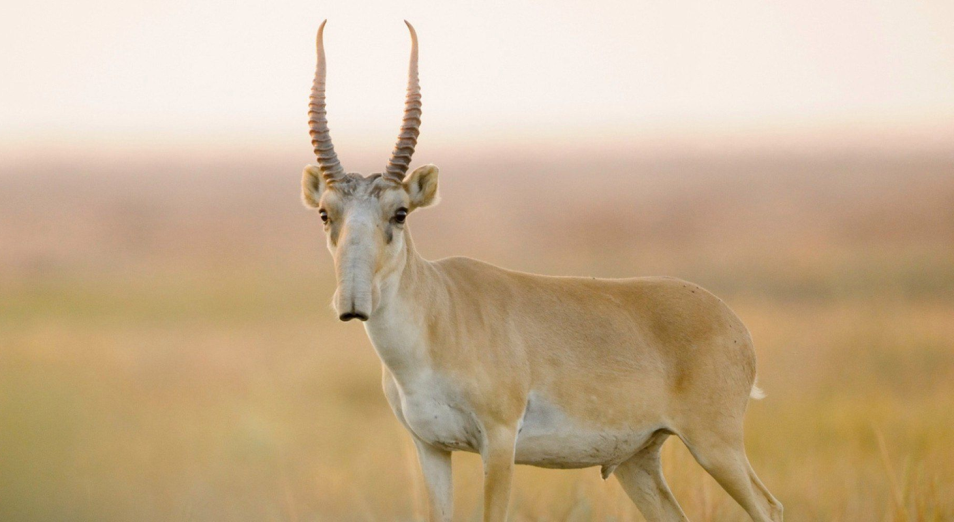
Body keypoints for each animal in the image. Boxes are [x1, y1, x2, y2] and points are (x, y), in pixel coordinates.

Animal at [300, 21, 780, 520]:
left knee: (770, 507)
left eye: (400, 213)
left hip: (715, 445)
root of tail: (733, 322)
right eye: (325, 213)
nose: (353, 302)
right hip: (638, 461)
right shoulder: (431, 448)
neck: (439, 313)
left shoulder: (498, 441)